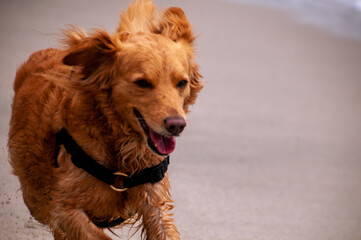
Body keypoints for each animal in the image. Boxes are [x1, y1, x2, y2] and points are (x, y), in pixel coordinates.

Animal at [7, 0, 202, 238]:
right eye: (142, 83)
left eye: (181, 83)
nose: (176, 125)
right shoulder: (63, 210)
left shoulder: (154, 202)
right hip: (35, 197)